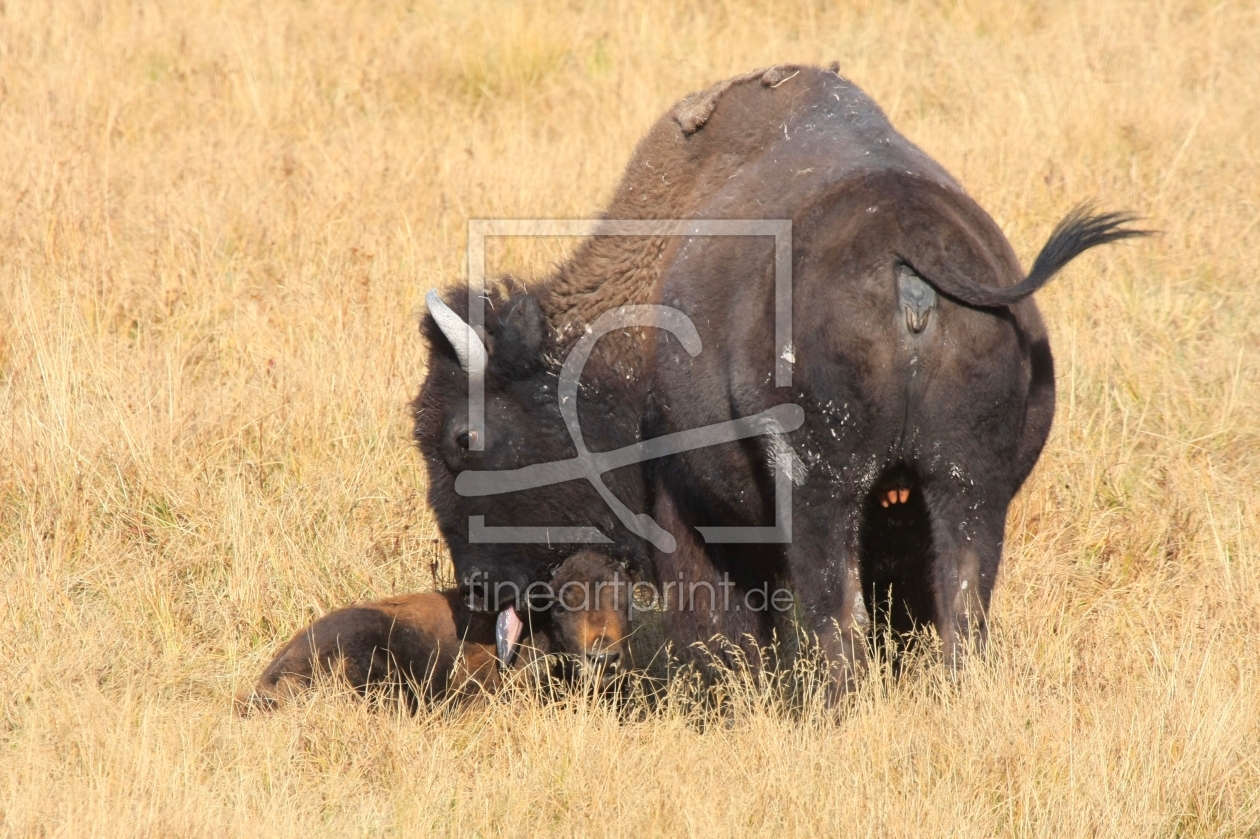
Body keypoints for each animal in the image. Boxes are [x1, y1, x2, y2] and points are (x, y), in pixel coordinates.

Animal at [413, 65, 1144, 690]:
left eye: (463, 437)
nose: (478, 587)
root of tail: (908, 239)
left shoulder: (686, 505)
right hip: (970, 486)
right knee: (960, 608)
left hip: (821, 490)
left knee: (835, 618)